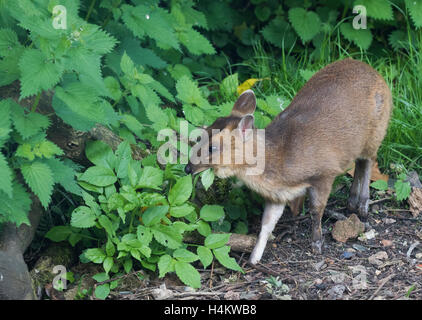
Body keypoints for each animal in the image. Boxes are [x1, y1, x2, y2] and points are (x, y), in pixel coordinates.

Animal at [185, 58, 392, 264]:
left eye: (212, 148)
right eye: (201, 135)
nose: (188, 168)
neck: (282, 159)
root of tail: (375, 71)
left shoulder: (324, 173)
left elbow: (316, 210)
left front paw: (317, 244)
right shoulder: (278, 193)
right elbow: (267, 223)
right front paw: (254, 258)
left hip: (377, 131)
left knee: (368, 160)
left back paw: (363, 206)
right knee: (359, 162)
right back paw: (351, 201)